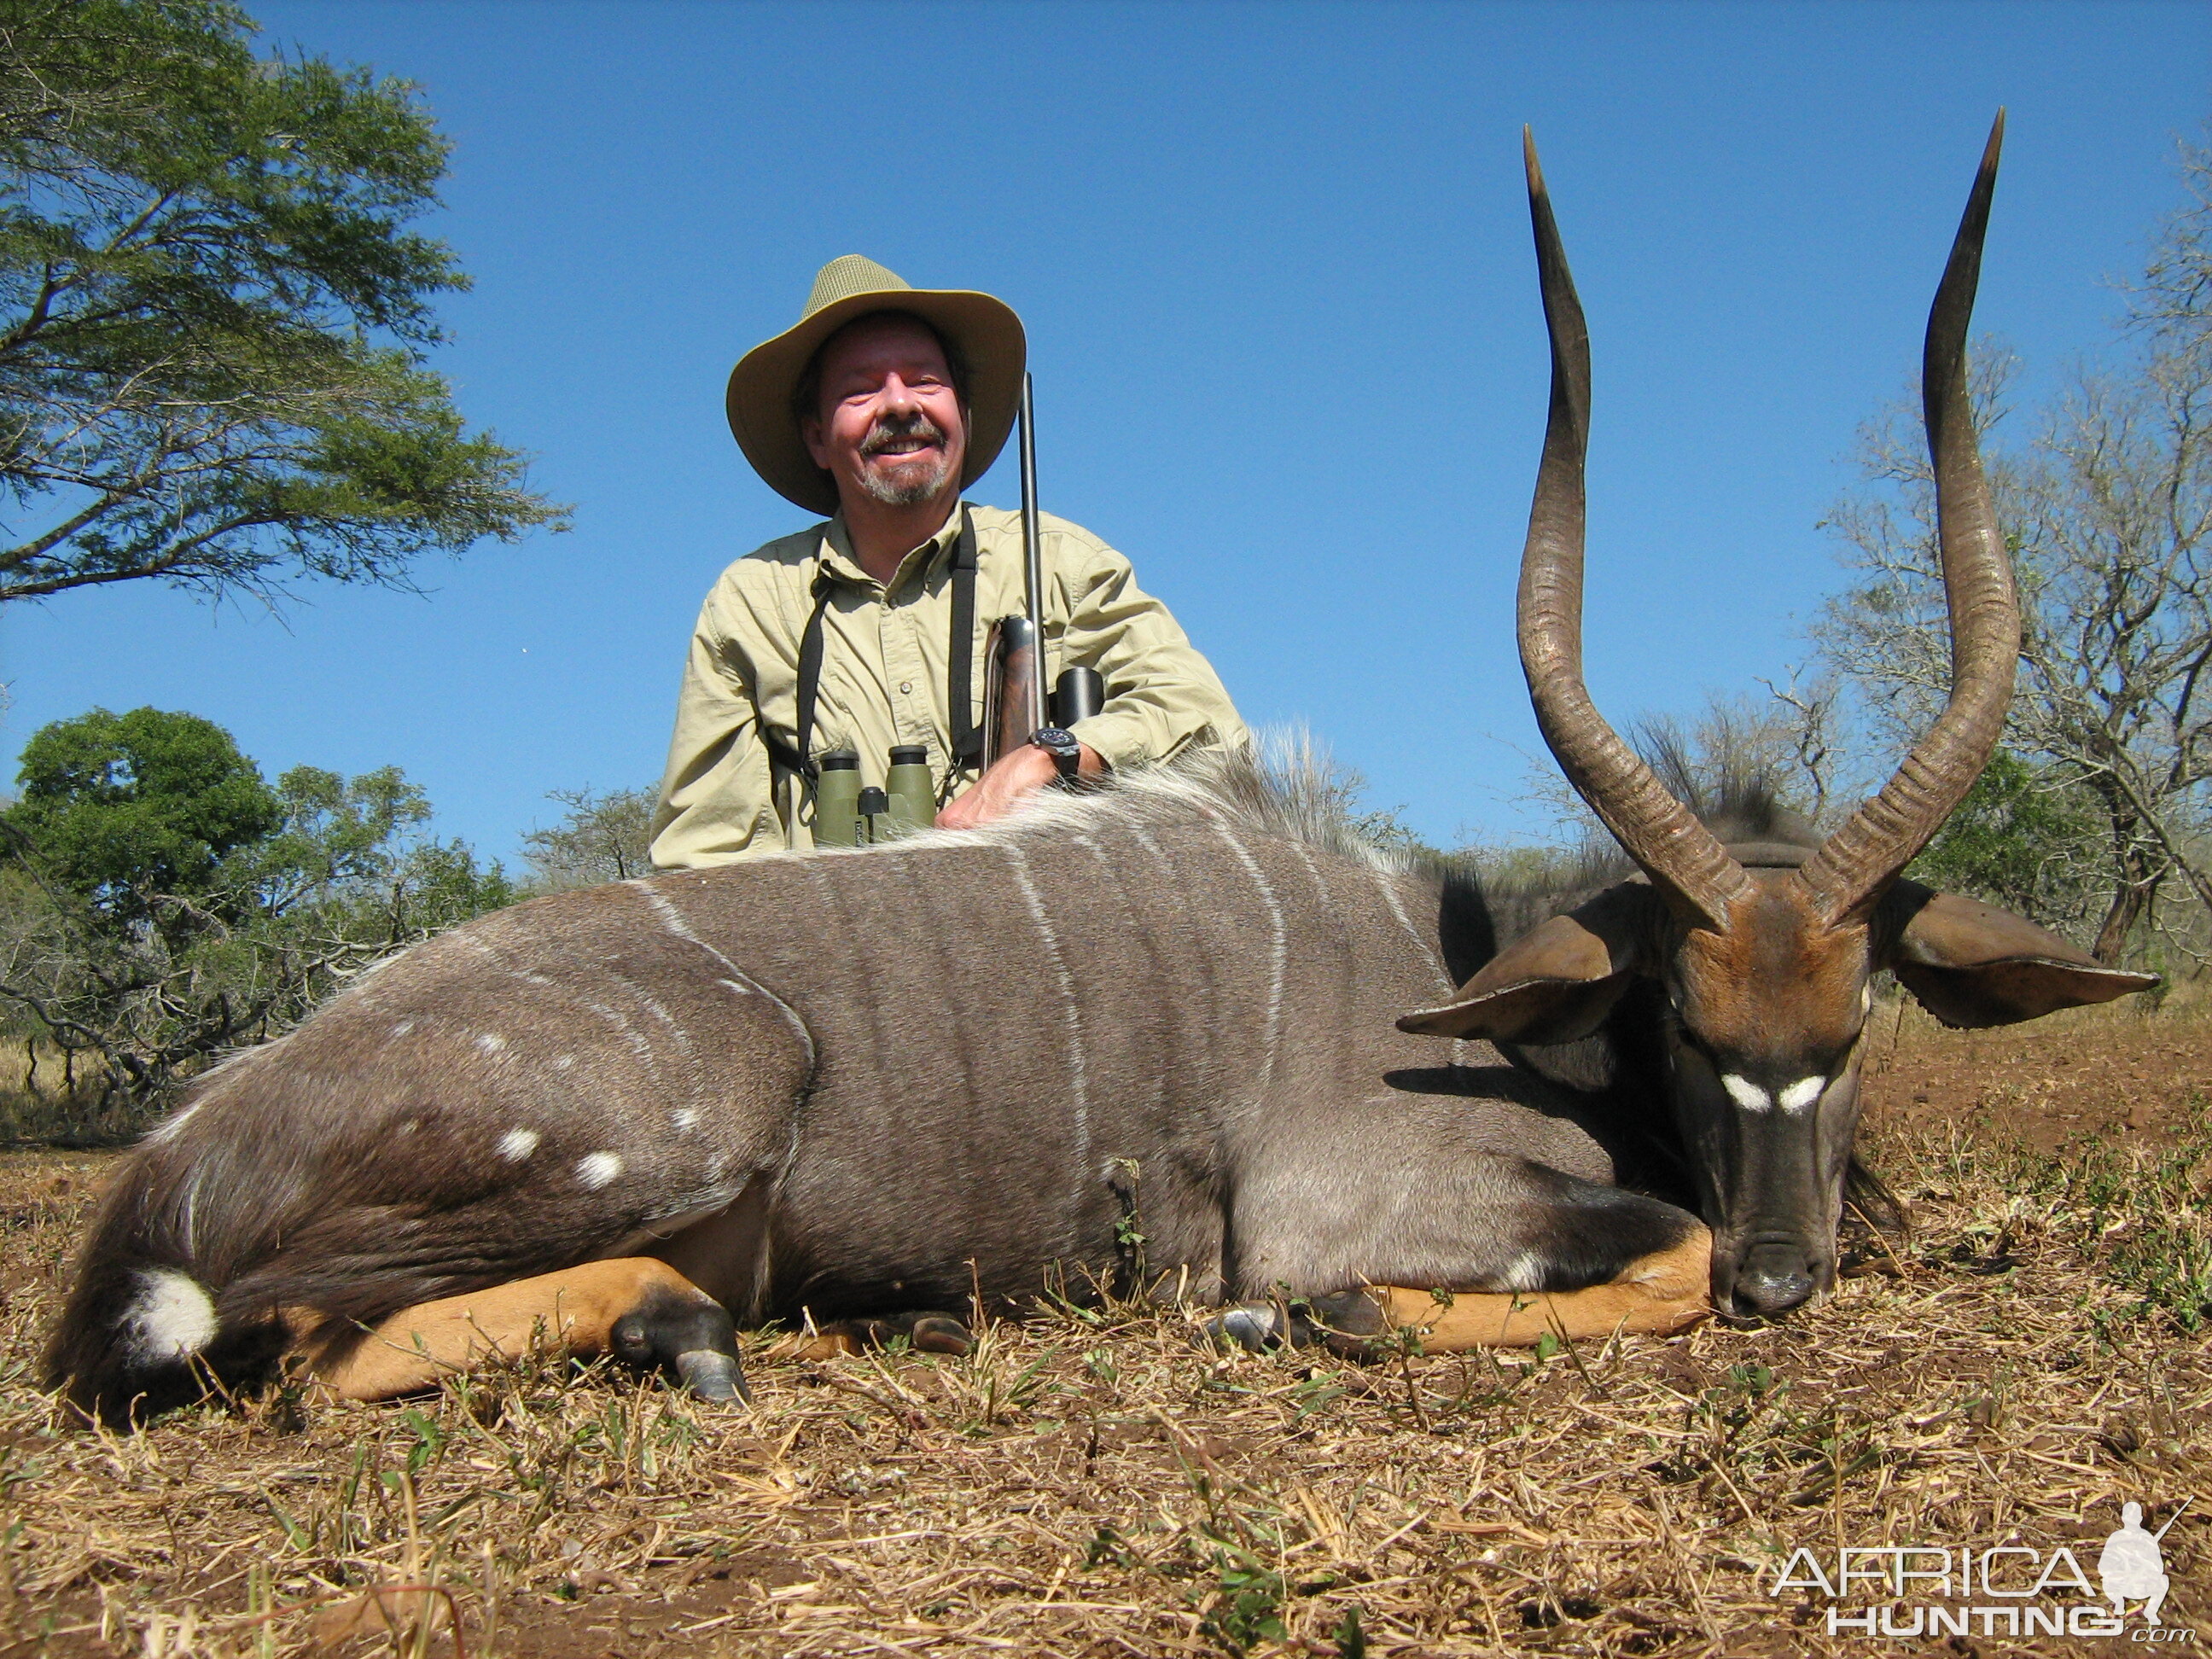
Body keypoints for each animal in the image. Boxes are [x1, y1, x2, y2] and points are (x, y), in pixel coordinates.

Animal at [47, 114, 2141, 1433]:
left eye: (1857, 1022)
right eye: (1693, 1026)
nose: (1798, 1278)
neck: (1468, 985)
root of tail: (177, 1153)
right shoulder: (1346, 1198)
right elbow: (1630, 1251)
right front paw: (1309, 1315)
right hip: (684, 1123)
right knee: (309, 1354)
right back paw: (688, 1337)